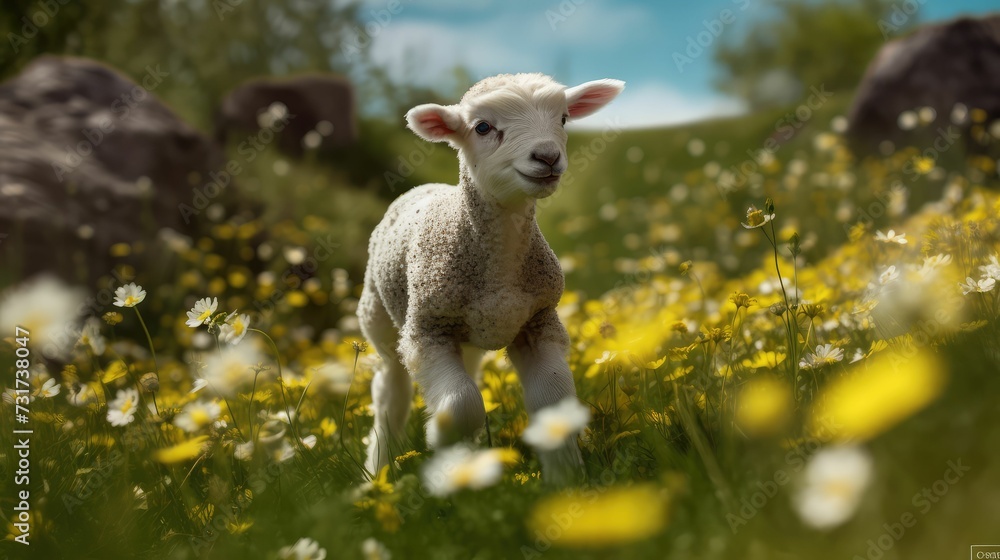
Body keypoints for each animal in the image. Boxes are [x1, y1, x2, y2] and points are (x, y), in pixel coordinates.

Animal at [358, 73, 624, 484]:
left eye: (564, 118)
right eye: (482, 127)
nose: (547, 156)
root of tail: (424, 187)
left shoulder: (538, 320)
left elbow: (552, 398)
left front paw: (566, 478)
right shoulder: (427, 329)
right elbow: (463, 404)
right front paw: (440, 436)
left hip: (465, 334)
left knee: (462, 370)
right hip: (382, 318)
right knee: (391, 390)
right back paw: (378, 471)